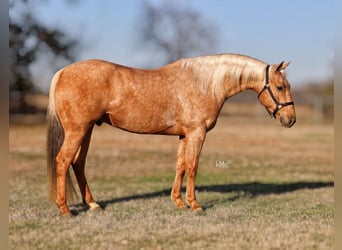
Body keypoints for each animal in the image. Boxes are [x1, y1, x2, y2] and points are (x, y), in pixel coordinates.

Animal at [46, 52, 296, 215]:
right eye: (280, 87)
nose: (291, 119)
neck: (205, 84)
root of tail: (61, 72)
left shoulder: (184, 135)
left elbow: (180, 165)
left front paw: (178, 202)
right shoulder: (197, 133)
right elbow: (192, 166)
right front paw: (195, 205)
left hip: (87, 130)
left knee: (78, 163)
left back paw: (93, 204)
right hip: (77, 131)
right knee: (63, 161)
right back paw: (65, 209)